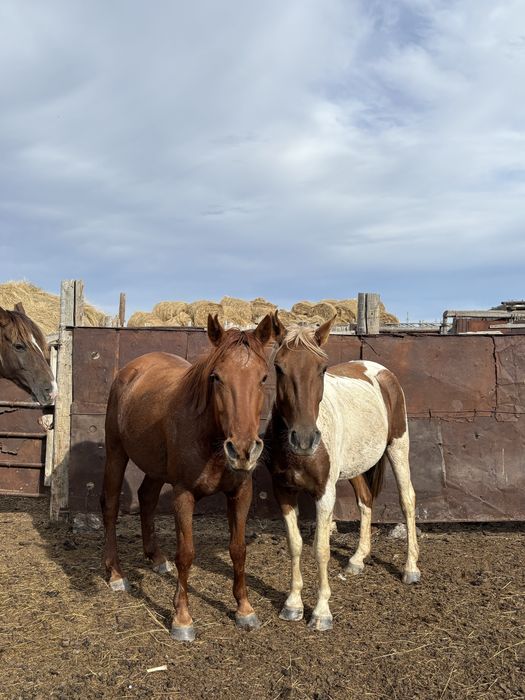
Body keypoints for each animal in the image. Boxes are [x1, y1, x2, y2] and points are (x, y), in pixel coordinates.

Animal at [101, 313, 274, 641]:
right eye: (216, 377)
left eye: (263, 377)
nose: (243, 450)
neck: (211, 438)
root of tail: (132, 369)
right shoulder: (183, 494)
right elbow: (186, 553)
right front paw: (182, 618)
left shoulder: (241, 492)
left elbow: (238, 550)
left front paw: (244, 609)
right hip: (116, 453)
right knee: (111, 507)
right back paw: (115, 573)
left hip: (155, 467)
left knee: (147, 498)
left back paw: (156, 558)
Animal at [265, 313, 420, 632]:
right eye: (279, 367)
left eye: (322, 368)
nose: (304, 439)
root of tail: (381, 372)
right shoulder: (283, 491)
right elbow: (295, 545)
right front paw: (292, 604)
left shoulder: (325, 492)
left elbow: (320, 549)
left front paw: (321, 612)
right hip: (356, 466)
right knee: (365, 501)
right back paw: (358, 559)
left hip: (398, 447)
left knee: (407, 500)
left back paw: (411, 568)